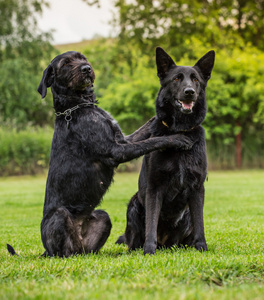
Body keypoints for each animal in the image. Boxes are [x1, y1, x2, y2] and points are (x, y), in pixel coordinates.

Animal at [6, 51, 192, 258]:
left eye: (83, 58)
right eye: (66, 63)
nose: (86, 68)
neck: (78, 107)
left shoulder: (123, 140)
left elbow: (147, 129)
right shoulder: (116, 151)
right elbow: (152, 141)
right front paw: (177, 139)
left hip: (103, 217)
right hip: (60, 217)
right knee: (62, 252)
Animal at [116, 47, 216, 255]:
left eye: (196, 80)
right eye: (176, 79)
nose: (189, 92)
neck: (180, 131)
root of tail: (166, 244)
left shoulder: (197, 188)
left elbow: (200, 223)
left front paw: (201, 247)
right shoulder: (155, 188)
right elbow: (151, 223)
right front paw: (149, 251)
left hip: (185, 215)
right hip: (134, 204)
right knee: (133, 240)